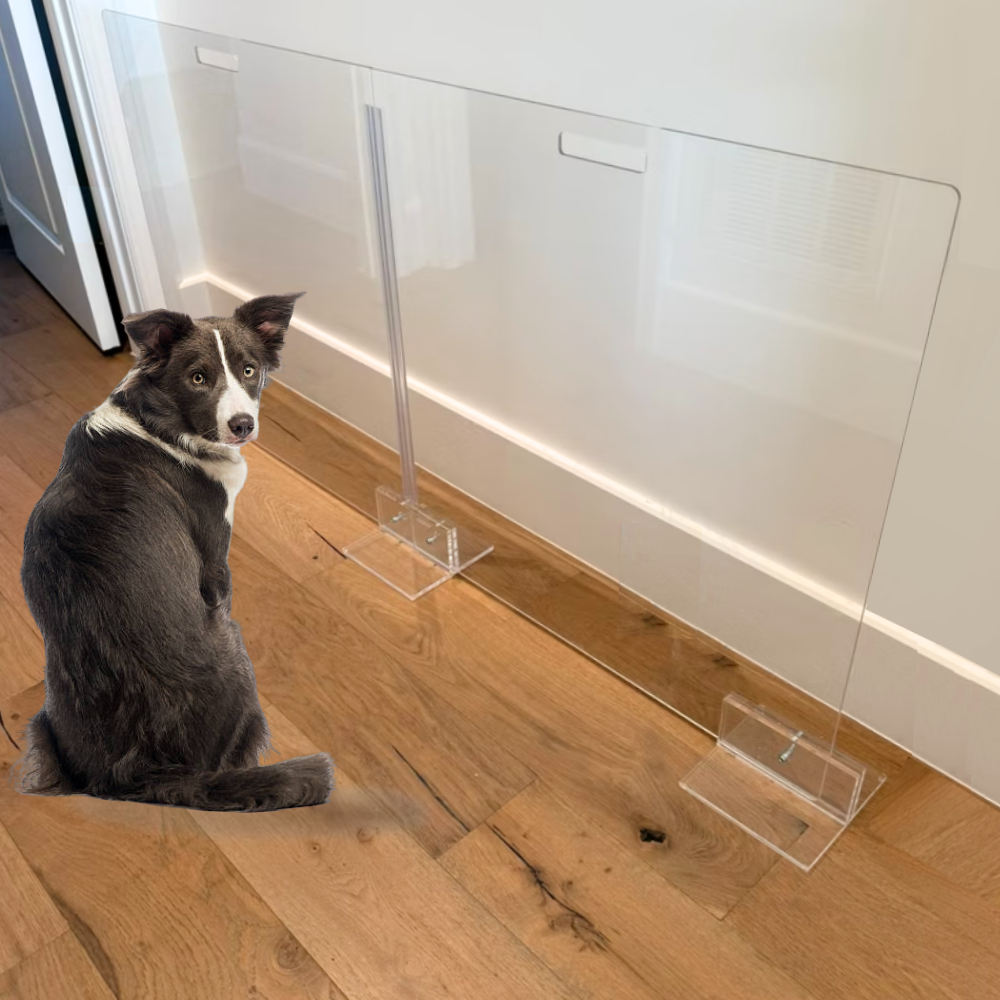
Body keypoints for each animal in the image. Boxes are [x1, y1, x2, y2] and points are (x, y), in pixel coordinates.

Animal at [15, 293, 333, 811]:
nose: (242, 426)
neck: (156, 419)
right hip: (233, 651)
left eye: (249, 370)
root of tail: (130, 777)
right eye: (197, 378)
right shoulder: (214, 558)